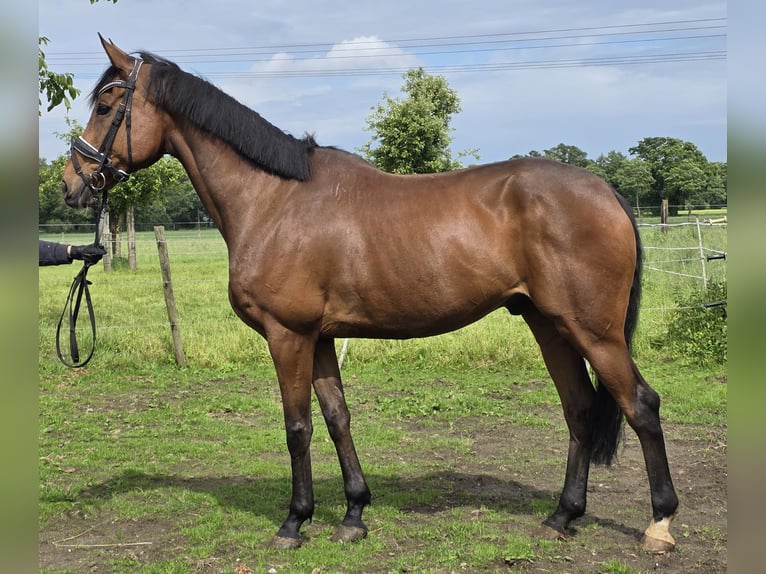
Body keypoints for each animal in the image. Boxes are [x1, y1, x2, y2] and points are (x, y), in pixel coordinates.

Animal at [62, 36, 678, 553]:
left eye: (106, 105)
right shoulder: (319, 338)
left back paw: (660, 525)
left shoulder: (288, 336)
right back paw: (562, 516)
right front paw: (353, 515)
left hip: (593, 331)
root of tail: (606, 192)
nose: (71, 184)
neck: (273, 200)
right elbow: (338, 417)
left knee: (640, 404)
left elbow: (297, 427)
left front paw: (294, 522)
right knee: (579, 408)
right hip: (549, 324)